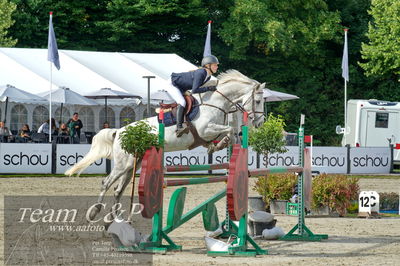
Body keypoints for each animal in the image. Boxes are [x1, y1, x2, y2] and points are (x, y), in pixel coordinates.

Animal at [65, 70, 266, 218]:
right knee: (106, 183)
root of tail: (120, 132)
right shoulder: (205, 129)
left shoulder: (211, 131)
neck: (215, 103)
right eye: (257, 101)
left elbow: (228, 134)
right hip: (124, 163)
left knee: (118, 189)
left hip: (133, 164)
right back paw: (95, 212)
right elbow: (230, 130)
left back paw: (115, 219)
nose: (260, 123)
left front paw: (219, 145)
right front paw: (221, 144)